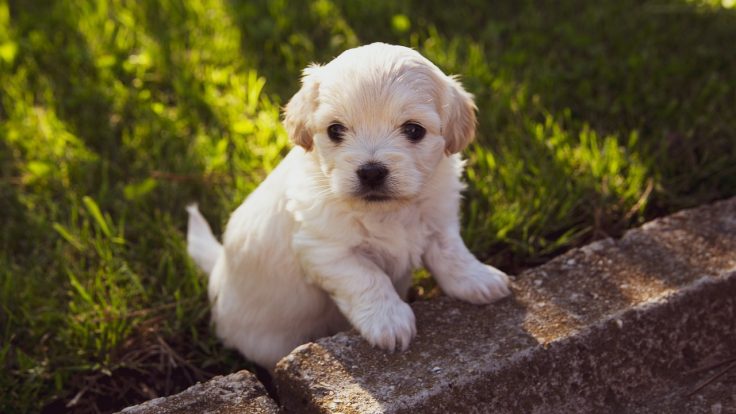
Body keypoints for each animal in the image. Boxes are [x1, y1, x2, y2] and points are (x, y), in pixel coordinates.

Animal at [188, 43, 512, 370]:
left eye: (413, 130)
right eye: (335, 130)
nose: (371, 172)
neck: (387, 212)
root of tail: (218, 272)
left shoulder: (438, 221)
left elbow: (452, 253)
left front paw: (478, 279)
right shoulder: (327, 250)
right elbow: (368, 278)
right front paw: (390, 321)